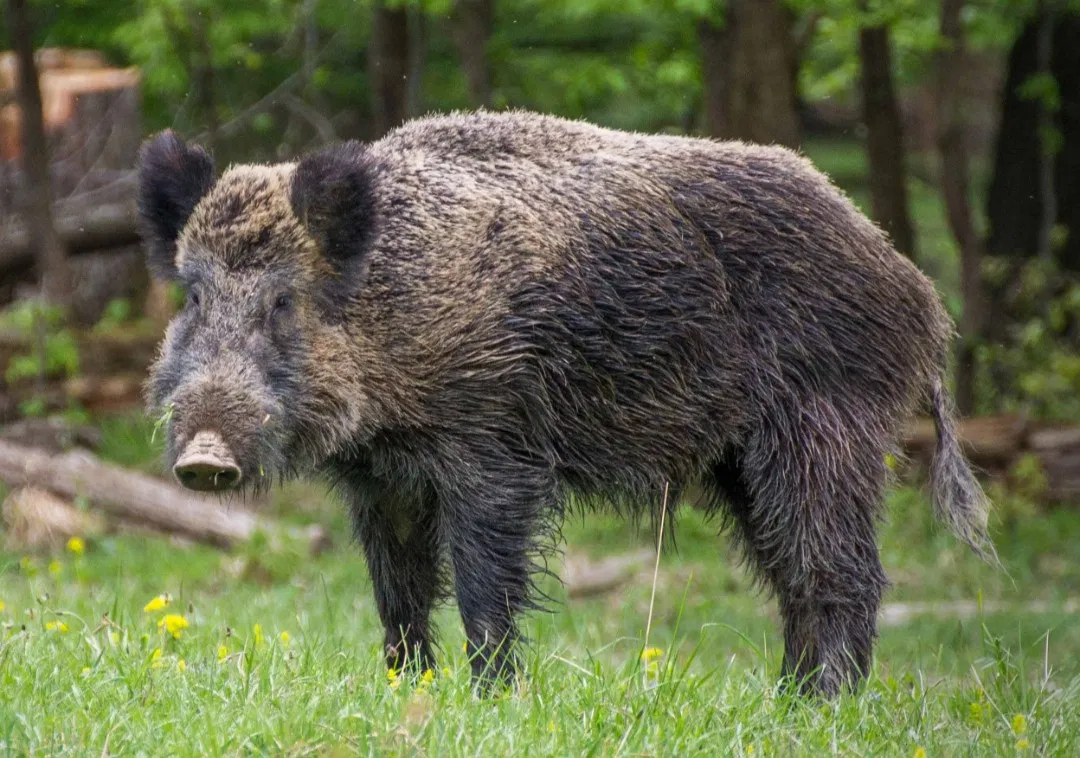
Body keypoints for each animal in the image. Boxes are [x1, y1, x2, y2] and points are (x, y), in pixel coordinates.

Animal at [137, 109, 994, 697]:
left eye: (283, 301)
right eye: (193, 295)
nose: (204, 457)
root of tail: (919, 294)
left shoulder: (493, 447)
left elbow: (484, 585)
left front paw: (489, 700)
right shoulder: (383, 481)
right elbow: (398, 592)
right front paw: (406, 687)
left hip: (825, 424)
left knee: (840, 570)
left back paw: (822, 706)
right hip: (742, 463)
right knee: (791, 574)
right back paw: (786, 700)